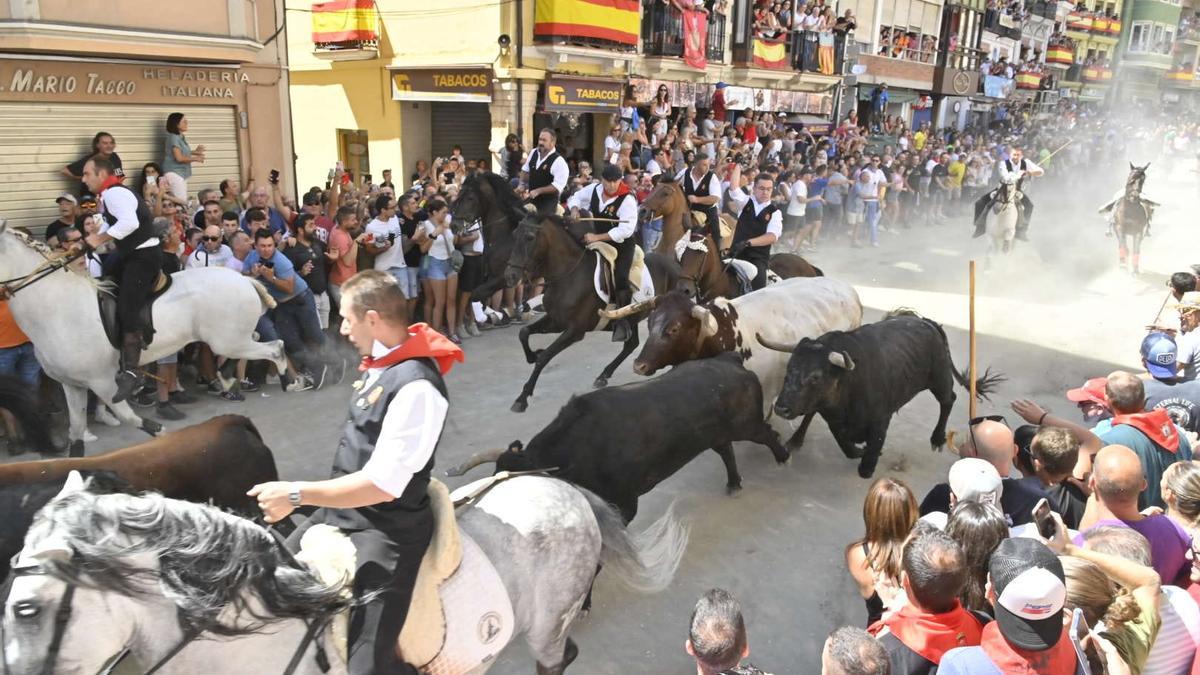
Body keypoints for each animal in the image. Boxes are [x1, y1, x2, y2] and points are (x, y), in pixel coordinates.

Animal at [0, 220, 285, 451]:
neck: (58, 309)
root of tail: (243, 279)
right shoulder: (73, 385)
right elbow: (76, 434)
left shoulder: (102, 382)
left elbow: (127, 415)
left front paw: (160, 432)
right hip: (231, 338)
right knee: (259, 339)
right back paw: (228, 377)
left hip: (228, 340)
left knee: (275, 347)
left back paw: (281, 378)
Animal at [446, 353, 792, 521]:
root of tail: (729, 360)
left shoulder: (625, 504)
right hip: (717, 433)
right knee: (726, 451)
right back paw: (734, 483)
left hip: (748, 425)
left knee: (768, 434)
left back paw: (784, 457)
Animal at [501, 211, 681, 410]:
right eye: (514, 235)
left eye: (530, 237)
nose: (510, 276)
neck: (569, 275)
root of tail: (675, 264)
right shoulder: (556, 320)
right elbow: (524, 333)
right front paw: (533, 355)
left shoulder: (575, 330)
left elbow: (545, 356)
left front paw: (522, 397)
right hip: (632, 317)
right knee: (631, 344)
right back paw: (603, 375)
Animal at [758, 312, 1003, 475]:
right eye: (789, 368)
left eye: (815, 377)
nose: (780, 407)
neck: (849, 383)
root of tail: (927, 322)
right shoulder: (834, 421)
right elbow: (846, 446)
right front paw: (859, 450)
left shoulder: (880, 419)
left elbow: (871, 453)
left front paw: (868, 462)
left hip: (940, 378)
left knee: (948, 400)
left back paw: (937, 438)